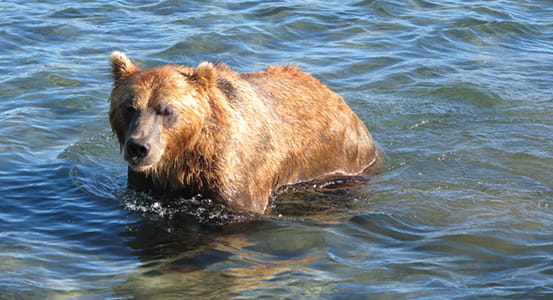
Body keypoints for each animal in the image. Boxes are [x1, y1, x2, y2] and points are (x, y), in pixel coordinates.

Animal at [108, 51, 380, 216]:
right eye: (130, 107)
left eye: (166, 110)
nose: (138, 147)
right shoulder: (148, 184)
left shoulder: (236, 177)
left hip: (338, 158)